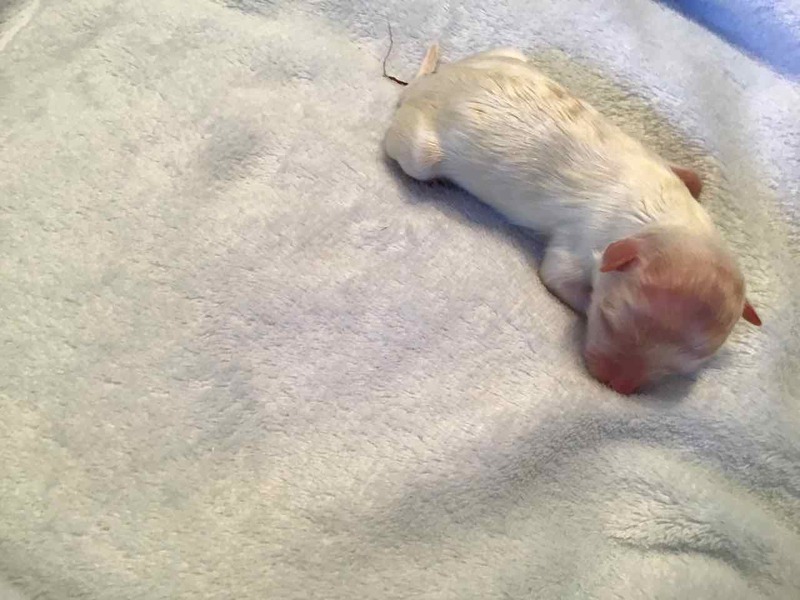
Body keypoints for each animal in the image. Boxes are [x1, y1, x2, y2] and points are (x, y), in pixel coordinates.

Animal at [384, 45, 761, 394]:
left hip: (508, 56)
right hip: (420, 151)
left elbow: (692, 179)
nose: (614, 385)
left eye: (678, 367)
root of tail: (429, 84)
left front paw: (694, 180)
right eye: (609, 319)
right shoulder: (583, 241)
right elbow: (558, 276)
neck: (662, 214)